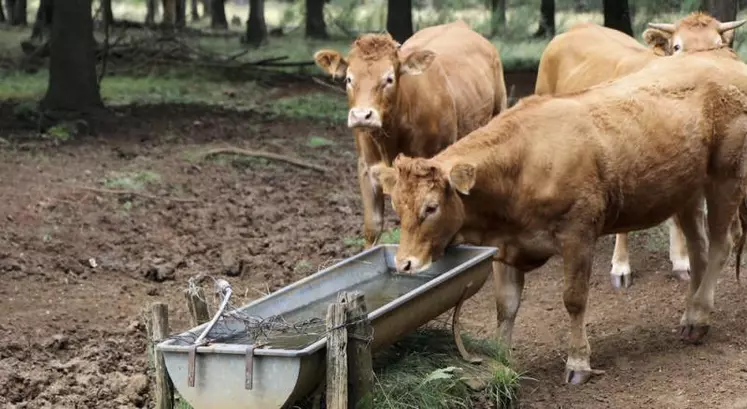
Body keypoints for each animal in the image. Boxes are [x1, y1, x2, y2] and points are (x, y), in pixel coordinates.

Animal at [374, 49, 747, 384]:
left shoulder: (578, 233)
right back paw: (691, 314)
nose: (404, 263)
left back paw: (698, 316)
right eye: (397, 207)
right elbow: (506, 305)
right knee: (699, 249)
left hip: (726, 177)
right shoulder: (504, 247)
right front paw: (500, 361)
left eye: (431, 207)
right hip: (687, 189)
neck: (523, 163)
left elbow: (574, 299)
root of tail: (725, 57)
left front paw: (578, 362)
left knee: (721, 245)